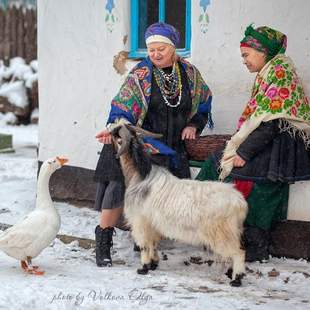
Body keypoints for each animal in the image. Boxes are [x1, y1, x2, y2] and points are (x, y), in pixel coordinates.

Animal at [110, 122, 248, 286]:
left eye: (117, 134)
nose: (110, 128)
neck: (141, 176)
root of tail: (240, 202)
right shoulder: (153, 225)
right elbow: (153, 244)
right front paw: (153, 264)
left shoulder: (140, 222)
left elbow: (144, 245)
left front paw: (143, 268)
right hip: (232, 231)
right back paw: (230, 273)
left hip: (222, 233)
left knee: (238, 252)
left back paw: (237, 279)